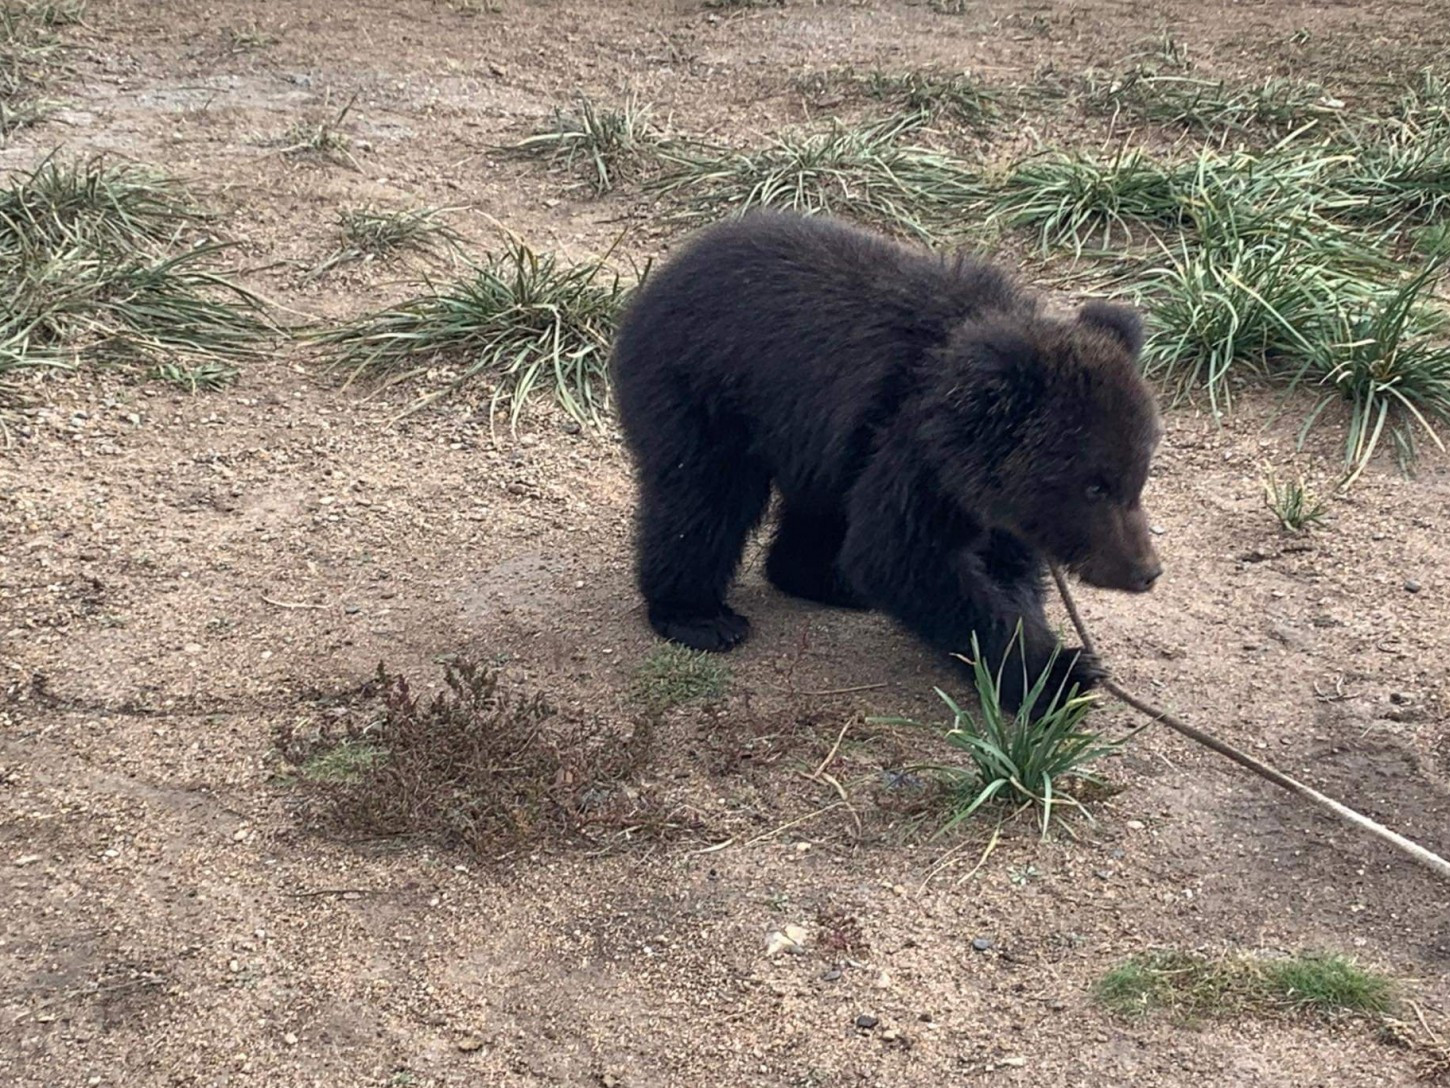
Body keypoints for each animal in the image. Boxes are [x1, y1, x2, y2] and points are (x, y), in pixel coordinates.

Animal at [606, 210, 1160, 710]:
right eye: (1094, 486)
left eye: (1138, 476)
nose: (1146, 571)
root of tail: (657, 285)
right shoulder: (912, 448)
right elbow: (901, 555)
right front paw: (1060, 674)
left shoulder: (980, 491)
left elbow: (1002, 563)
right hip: (702, 397)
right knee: (703, 501)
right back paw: (700, 616)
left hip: (818, 444)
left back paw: (825, 581)